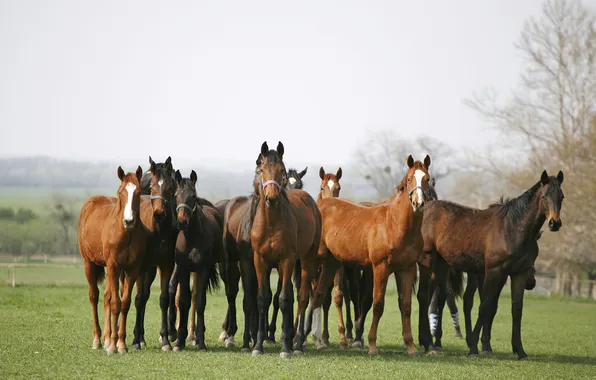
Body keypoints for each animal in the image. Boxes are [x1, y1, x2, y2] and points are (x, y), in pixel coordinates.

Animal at [78, 166, 146, 354]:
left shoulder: (132, 269)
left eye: (138, 192)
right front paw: (114, 347)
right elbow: (115, 302)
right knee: (94, 296)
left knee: (107, 296)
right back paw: (98, 340)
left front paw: (120, 343)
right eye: (121, 192)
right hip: (89, 264)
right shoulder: (114, 266)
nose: (129, 221)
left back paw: (108, 339)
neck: (126, 234)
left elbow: (124, 303)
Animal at [170, 171, 221, 352]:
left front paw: (201, 342)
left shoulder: (202, 269)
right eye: (176, 195)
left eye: (193, 196)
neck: (191, 238)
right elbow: (183, 300)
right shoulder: (184, 269)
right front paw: (179, 341)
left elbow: (200, 301)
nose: (182, 222)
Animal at [249, 141, 322, 358]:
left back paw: (296, 343)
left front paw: (284, 348)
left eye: (281, 170)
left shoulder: (287, 260)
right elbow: (263, 298)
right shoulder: (260, 260)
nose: (272, 198)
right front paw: (258, 345)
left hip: (306, 260)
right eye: (262, 169)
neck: (271, 223)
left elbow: (283, 299)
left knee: (303, 297)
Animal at [312, 155, 434, 356]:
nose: (419, 203)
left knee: (318, 295)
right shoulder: (380, 267)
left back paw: (318, 341)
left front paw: (410, 346)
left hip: (331, 263)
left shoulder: (406, 269)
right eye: (409, 179)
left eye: (427, 179)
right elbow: (378, 304)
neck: (394, 224)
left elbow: (406, 305)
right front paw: (371, 344)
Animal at [416, 171, 564, 358]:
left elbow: (516, 309)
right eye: (544, 197)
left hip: (441, 267)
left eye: (561, 196)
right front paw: (474, 346)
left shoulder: (518, 273)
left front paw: (519, 350)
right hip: (428, 262)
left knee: (429, 297)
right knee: (426, 296)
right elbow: (485, 306)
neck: (512, 228)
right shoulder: (494, 271)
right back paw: (429, 342)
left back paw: (426, 342)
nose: (554, 223)